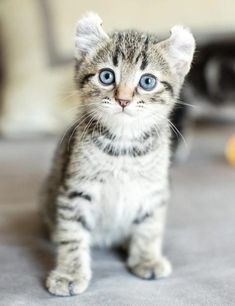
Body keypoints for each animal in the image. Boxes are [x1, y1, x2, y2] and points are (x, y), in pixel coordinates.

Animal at [40, 12, 195, 296]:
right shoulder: (74, 190)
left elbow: (149, 227)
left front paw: (147, 258)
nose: (123, 100)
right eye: (106, 76)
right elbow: (72, 235)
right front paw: (69, 273)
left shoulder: (154, 189)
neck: (124, 147)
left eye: (147, 81)